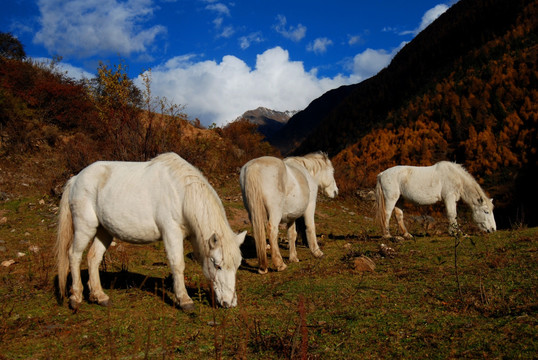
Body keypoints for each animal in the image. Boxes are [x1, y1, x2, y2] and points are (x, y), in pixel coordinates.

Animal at [56, 151, 245, 310]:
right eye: (217, 265)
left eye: (237, 266)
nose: (230, 303)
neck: (181, 192)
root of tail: (76, 179)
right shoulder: (171, 233)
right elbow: (178, 264)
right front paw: (184, 300)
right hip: (85, 227)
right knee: (74, 255)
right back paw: (76, 297)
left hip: (104, 231)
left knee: (93, 258)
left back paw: (99, 296)